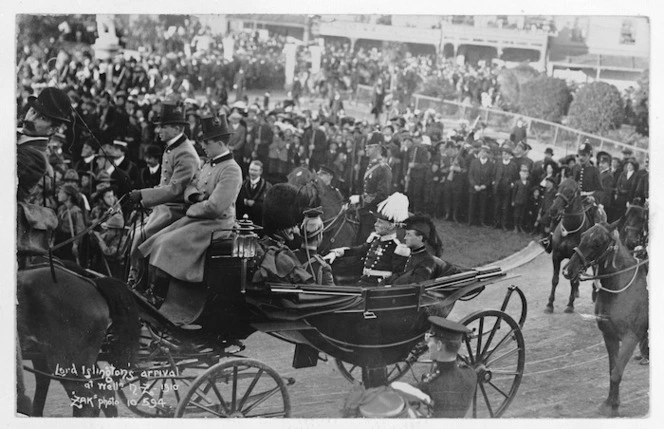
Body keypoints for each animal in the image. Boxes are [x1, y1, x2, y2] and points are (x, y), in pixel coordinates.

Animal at [544, 176, 604, 312]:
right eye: (559, 187)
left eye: (571, 191)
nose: (553, 210)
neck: (570, 229)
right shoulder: (556, 256)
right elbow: (555, 280)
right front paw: (550, 304)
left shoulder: (577, 256)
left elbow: (572, 280)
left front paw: (570, 305)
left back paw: (594, 293)